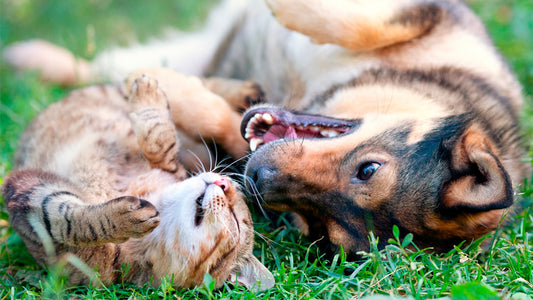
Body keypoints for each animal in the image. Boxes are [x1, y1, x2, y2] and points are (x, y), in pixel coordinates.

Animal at [3, 0, 528, 256]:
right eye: (368, 169)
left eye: (321, 228)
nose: (256, 179)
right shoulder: (432, 14)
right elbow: (362, 23)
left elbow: (221, 122)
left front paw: (172, 89)